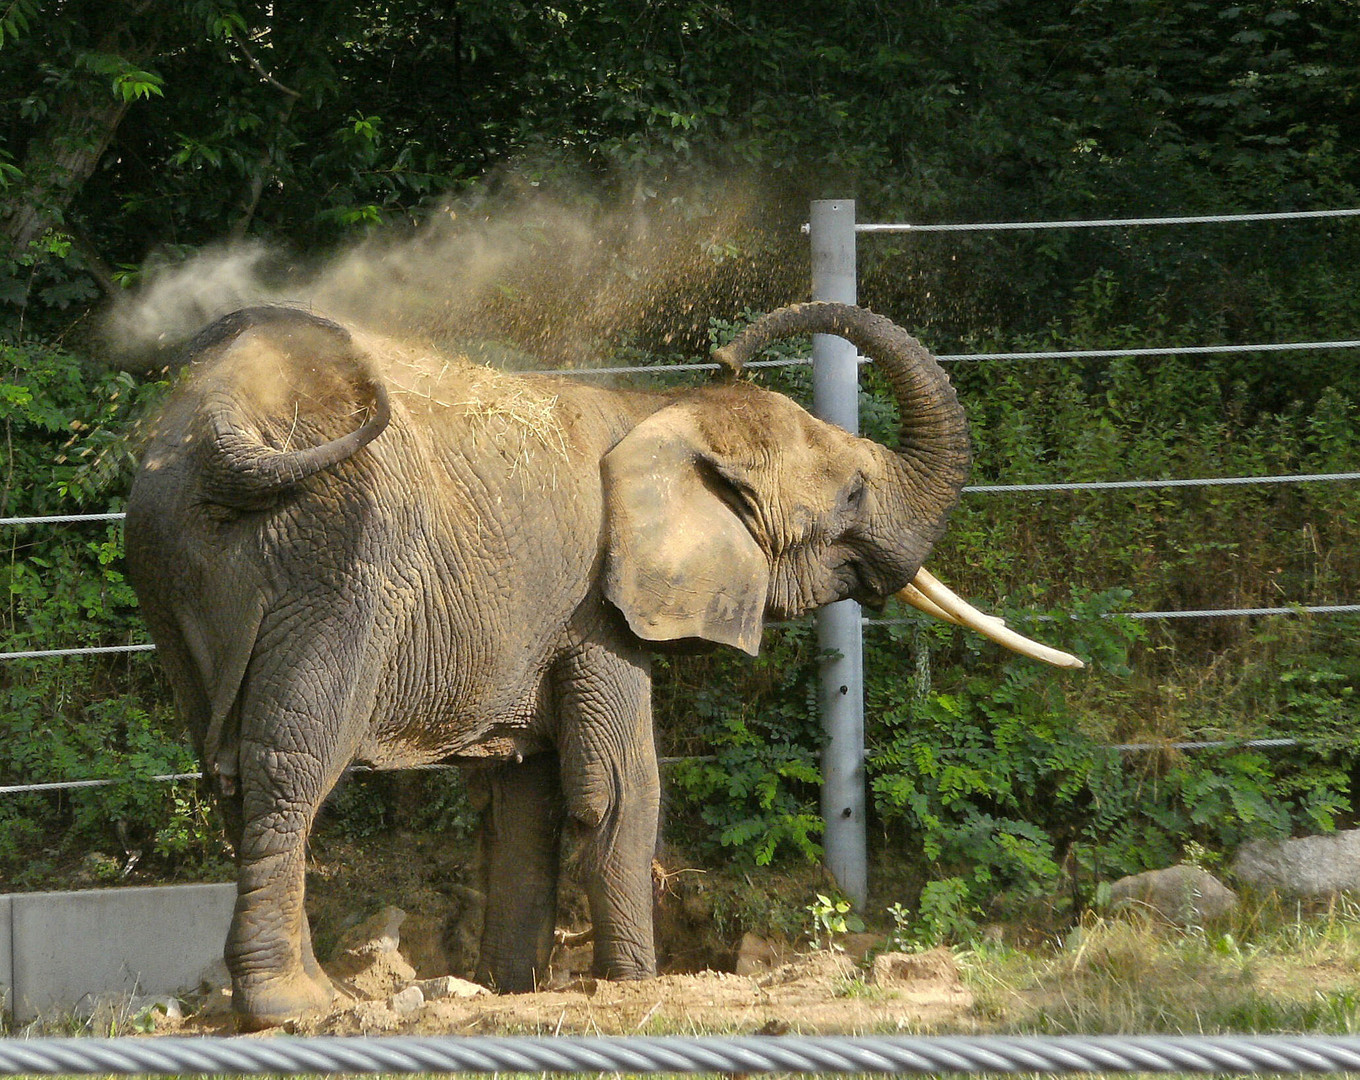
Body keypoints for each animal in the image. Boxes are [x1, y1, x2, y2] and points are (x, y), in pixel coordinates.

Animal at [122, 299, 1071, 1022]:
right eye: (852, 494)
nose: (727, 350)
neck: (661, 408)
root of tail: (223, 423)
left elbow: (523, 803)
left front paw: (511, 990)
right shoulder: (599, 605)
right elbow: (619, 786)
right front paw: (636, 987)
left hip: (173, 562)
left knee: (224, 773)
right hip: (335, 562)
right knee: (292, 764)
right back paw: (296, 1007)